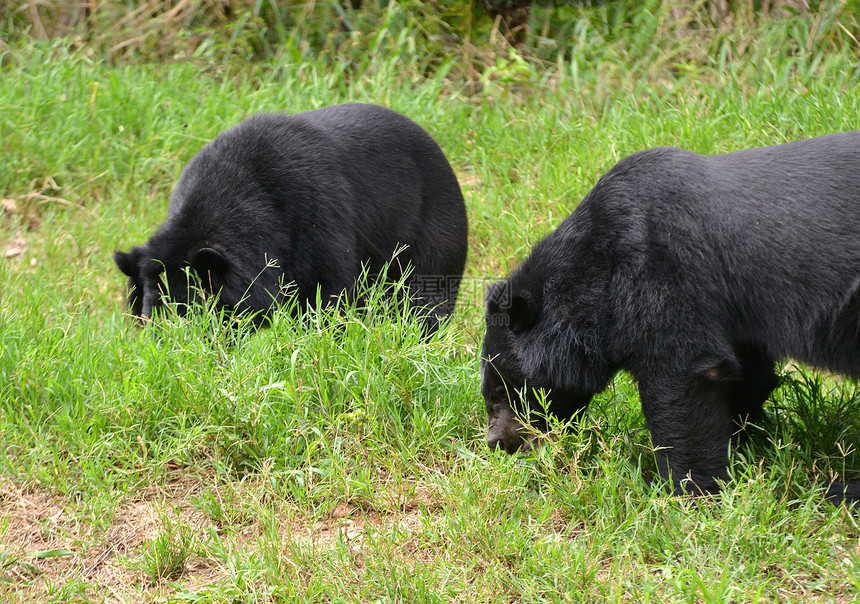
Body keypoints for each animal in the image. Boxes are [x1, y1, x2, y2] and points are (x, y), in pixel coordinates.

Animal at [115, 102, 470, 332]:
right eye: (146, 314)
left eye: (187, 311)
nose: (168, 344)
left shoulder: (316, 223)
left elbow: (327, 296)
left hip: (432, 233)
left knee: (423, 301)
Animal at [484, 131, 860, 504]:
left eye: (502, 391)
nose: (497, 443)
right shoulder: (734, 312)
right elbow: (749, 377)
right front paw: (743, 448)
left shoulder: (663, 268)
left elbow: (682, 376)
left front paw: (680, 491)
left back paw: (839, 491)